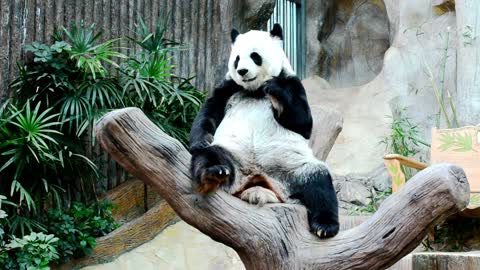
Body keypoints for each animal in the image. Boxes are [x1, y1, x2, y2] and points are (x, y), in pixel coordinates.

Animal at [188, 23, 338, 238]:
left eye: (255, 56)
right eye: (237, 59)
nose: (242, 71)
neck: (255, 90)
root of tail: (256, 179)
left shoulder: (292, 83)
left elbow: (304, 123)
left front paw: (275, 89)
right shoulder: (228, 88)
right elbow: (208, 112)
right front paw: (200, 140)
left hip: (291, 169)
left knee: (319, 183)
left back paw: (325, 226)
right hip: (233, 154)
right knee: (208, 156)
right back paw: (214, 173)